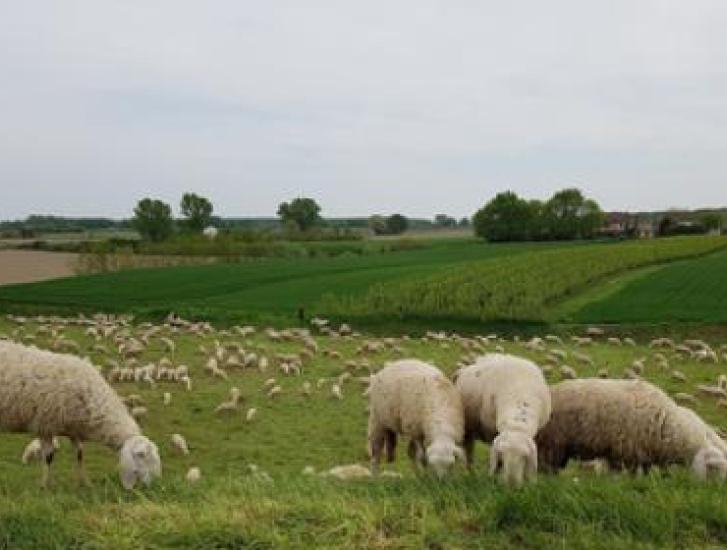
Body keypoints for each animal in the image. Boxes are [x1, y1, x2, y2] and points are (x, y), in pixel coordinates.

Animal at [0, 341, 161, 489]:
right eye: (142, 456)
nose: (149, 488)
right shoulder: (45, 425)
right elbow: (49, 457)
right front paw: (45, 485)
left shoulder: (74, 429)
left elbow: (79, 455)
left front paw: (84, 483)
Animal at [455, 354, 551, 486]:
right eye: (502, 454)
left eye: (525, 456)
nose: (511, 484)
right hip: (469, 426)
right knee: (469, 452)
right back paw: (471, 474)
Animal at [535, 379, 727, 480]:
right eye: (714, 468)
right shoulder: (627, 450)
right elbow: (628, 472)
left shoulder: (643, 452)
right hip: (552, 444)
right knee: (546, 466)